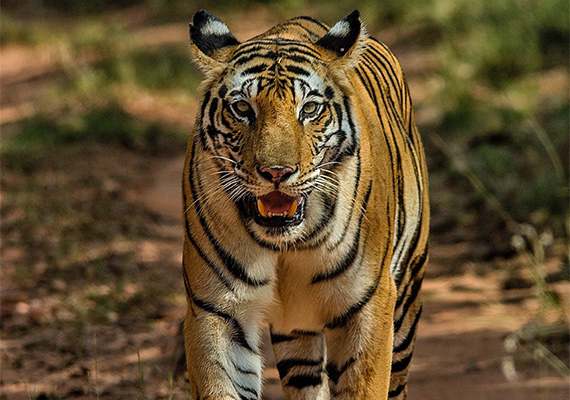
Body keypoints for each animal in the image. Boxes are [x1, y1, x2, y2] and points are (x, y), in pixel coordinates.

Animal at [182, 9, 426, 400]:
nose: (276, 172)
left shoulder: (368, 304)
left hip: (406, 297)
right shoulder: (217, 310)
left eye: (309, 109)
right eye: (242, 108)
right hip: (295, 330)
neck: (285, 245)